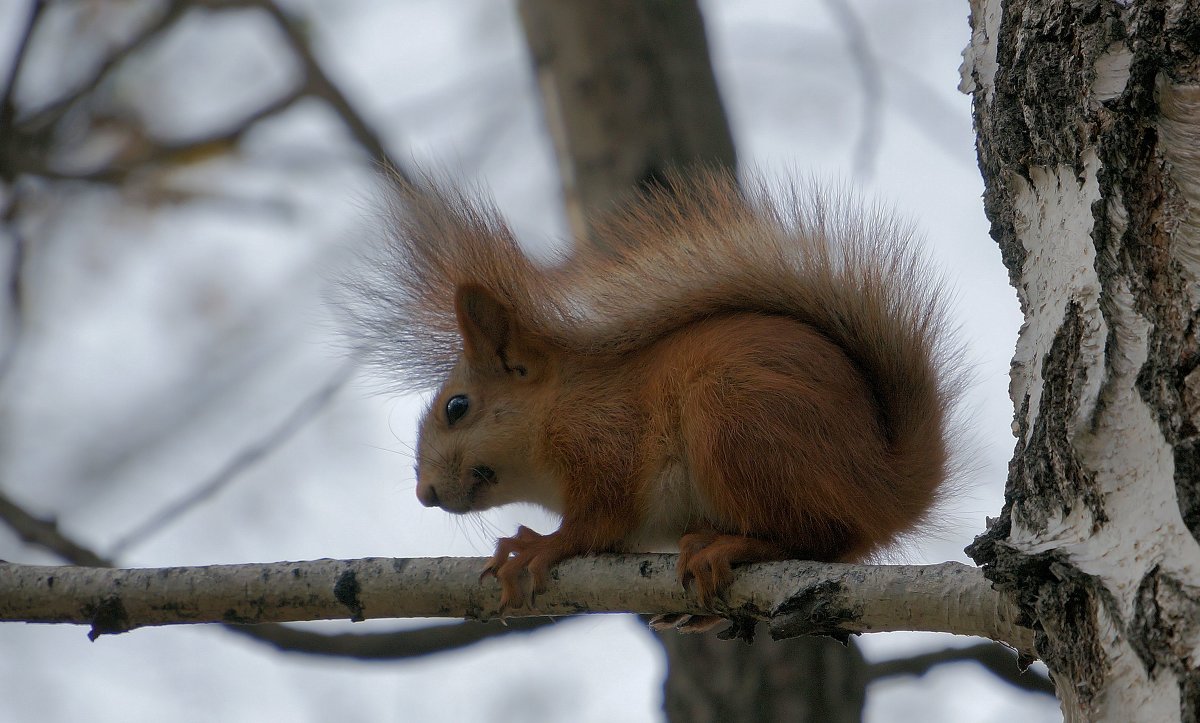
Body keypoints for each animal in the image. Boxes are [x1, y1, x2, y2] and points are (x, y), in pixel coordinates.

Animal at [350, 170, 964, 619]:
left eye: (457, 407)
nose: (425, 493)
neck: (558, 407)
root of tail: (886, 487)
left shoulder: (606, 443)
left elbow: (598, 522)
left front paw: (537, 546)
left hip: (737, 420)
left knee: (814, 534)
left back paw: (730, 546)